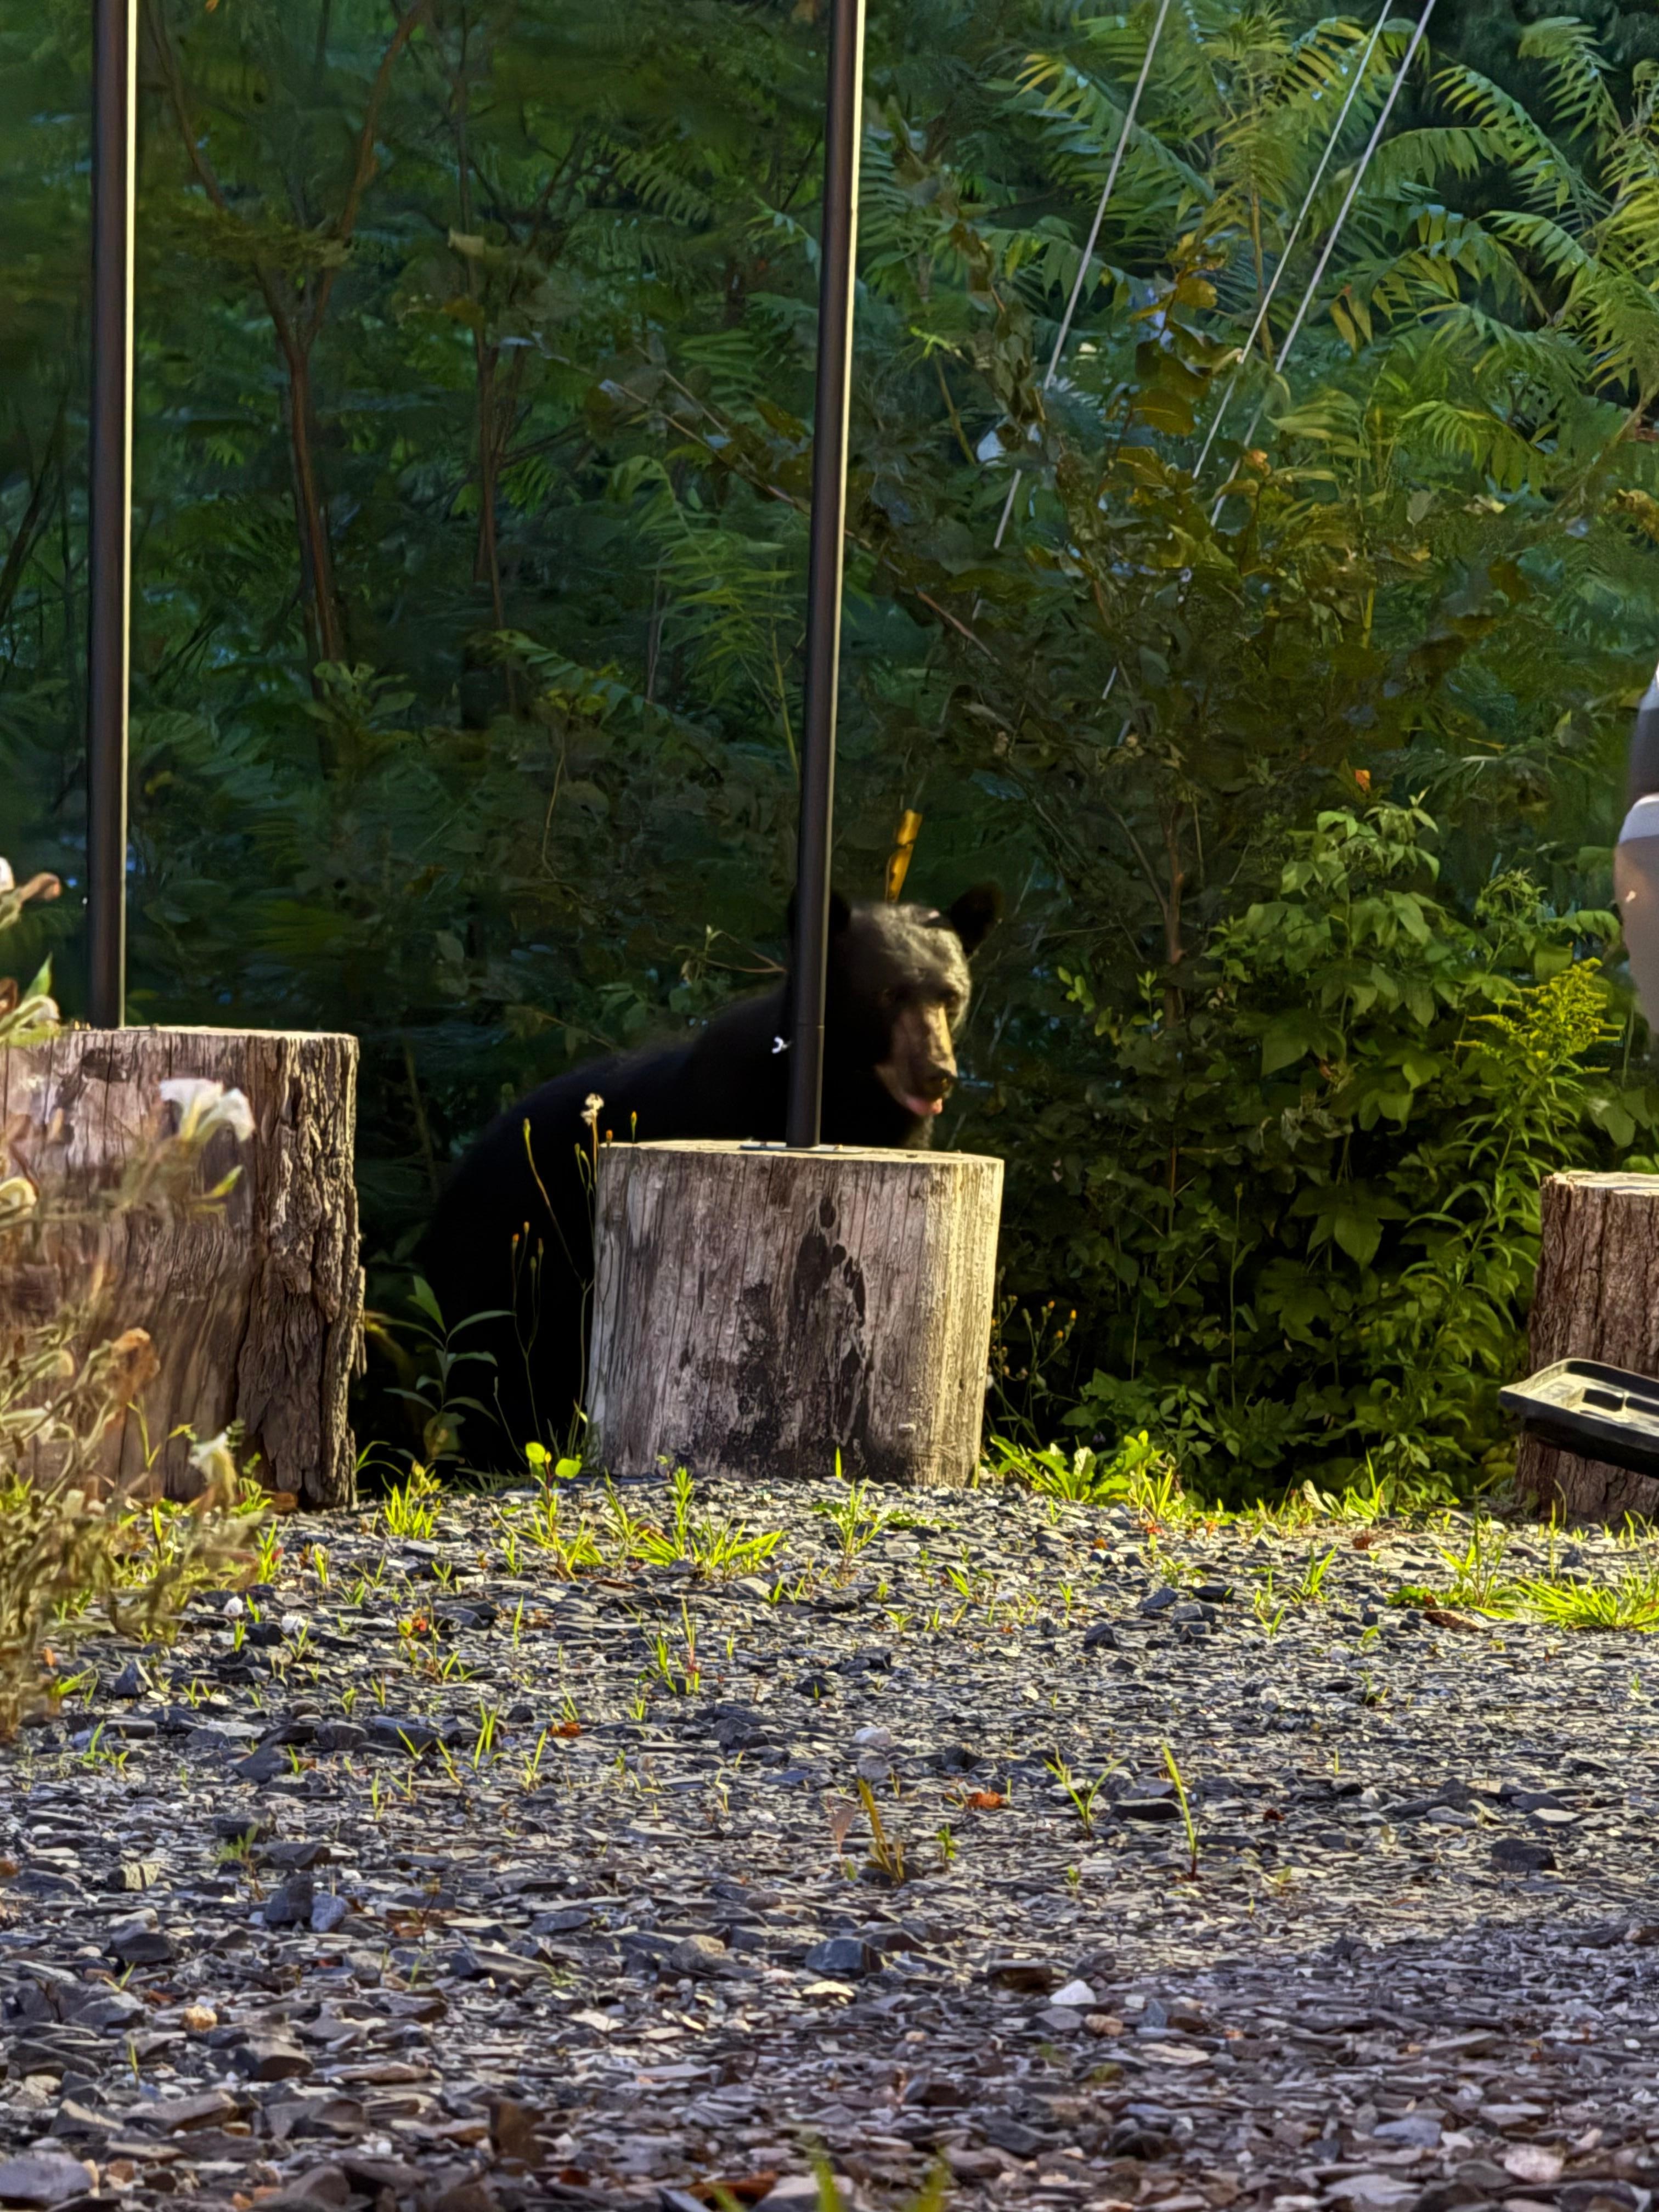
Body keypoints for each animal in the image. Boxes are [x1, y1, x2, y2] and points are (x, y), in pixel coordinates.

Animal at [419, 883, 1000, 1464]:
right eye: (888, 994)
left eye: (951, 996)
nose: (937, 1074)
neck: (845, 1094)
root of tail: (453, 1182)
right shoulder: (725, 1103)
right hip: (501, 1260)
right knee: (497, 1374)